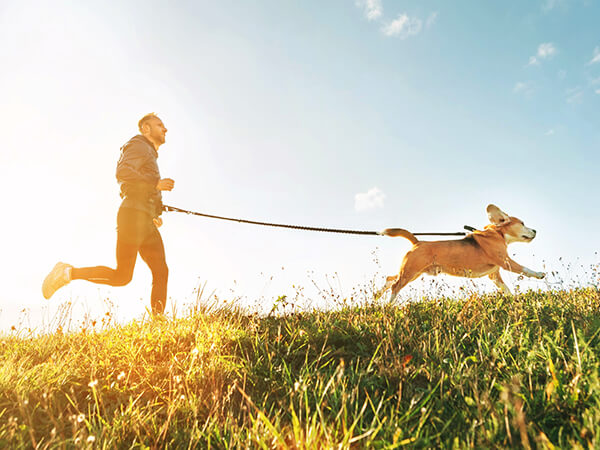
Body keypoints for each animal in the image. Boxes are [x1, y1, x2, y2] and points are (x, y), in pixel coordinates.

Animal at [378, 206, 548, 300]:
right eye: (523, 223)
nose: (535, 231)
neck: (498, 233)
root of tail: (417, 242)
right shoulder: (506, 261)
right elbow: (524, 269)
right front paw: (539, 274)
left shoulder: (494, 275)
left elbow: (505, 288)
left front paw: (513, 299)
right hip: (410, 271)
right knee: (395, 286)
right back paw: (388, 305)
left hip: (413, 272)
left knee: (390, 279)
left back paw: (377, 296)